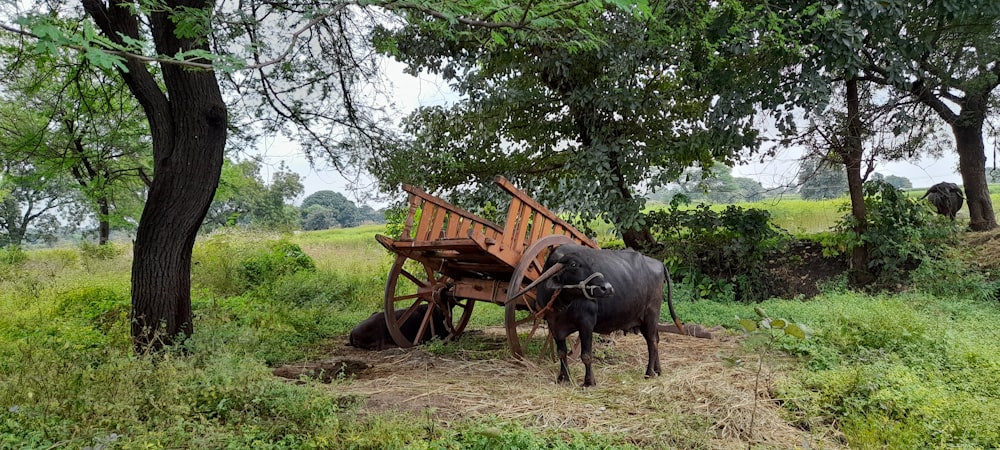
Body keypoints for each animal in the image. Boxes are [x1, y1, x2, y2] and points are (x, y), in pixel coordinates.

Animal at [520, 244, 684, 384]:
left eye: (592, 264)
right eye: (573, 265)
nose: (608, 288)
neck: (561, 303)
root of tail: (659, 264)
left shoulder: (586, 324)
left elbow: (586, 355)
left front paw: (589, 382)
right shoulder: (554, 326)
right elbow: (562, 353)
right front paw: (564, 378)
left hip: (651, 315)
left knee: (652, 342)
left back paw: (649, 373)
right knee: (656, 339)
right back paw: (658, 370)